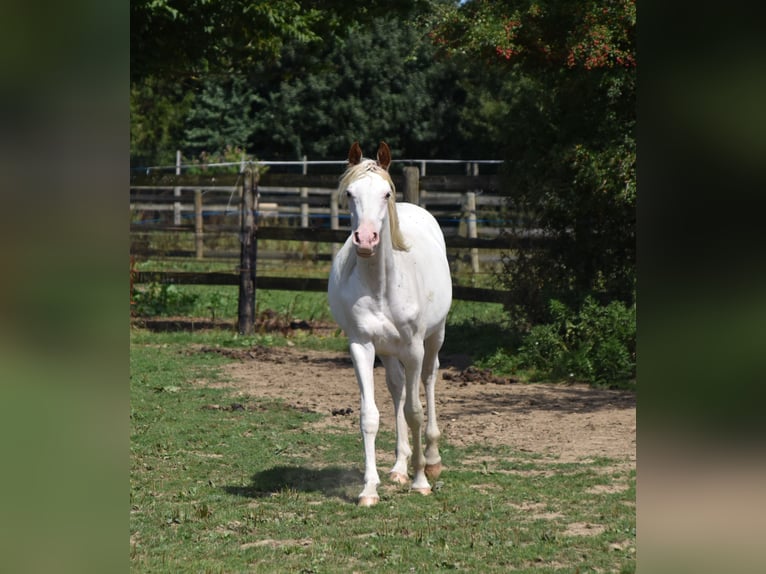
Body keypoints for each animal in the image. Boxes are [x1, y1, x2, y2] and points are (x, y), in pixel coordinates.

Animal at [328, 142, 452, 506]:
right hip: (387, 349)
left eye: (386, 193)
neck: (380, 286)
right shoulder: (362, 345)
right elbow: (370, 416)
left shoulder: (413, 348)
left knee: (427, 380)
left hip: (434, 338)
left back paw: (431, 461)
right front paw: (370, 488)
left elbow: (415, 411)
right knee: (397, 388)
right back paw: (399, 467)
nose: (366, 239)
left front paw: (421, 480)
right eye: (350, 193)